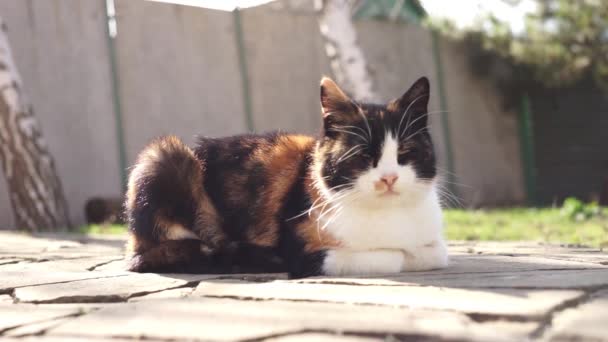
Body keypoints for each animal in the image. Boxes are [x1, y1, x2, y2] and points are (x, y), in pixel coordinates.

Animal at [124, 77, 446, 278]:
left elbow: (435, 252)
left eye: (405, 152)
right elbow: (393, 256)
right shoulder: (305, 250)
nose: (389, 178)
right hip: (163, 156)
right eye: (364, 156)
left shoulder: (435, 243)